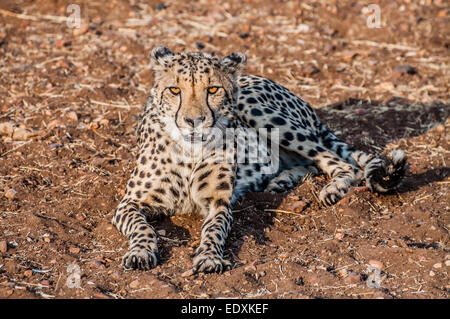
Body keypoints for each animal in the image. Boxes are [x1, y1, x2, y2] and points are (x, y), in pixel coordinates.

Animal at [110, 47, 406, 276]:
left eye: (212, 89)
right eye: (174, 90)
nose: (194, 120)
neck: (189, 150)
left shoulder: (218, 203)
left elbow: (214, 229)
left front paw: (209, 256)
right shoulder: (129, 203)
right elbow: (142, 227)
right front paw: (140, 252)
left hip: (260, 111)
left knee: (341, 163)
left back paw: (332, 188)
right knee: (311, 163)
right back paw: (281, 180)